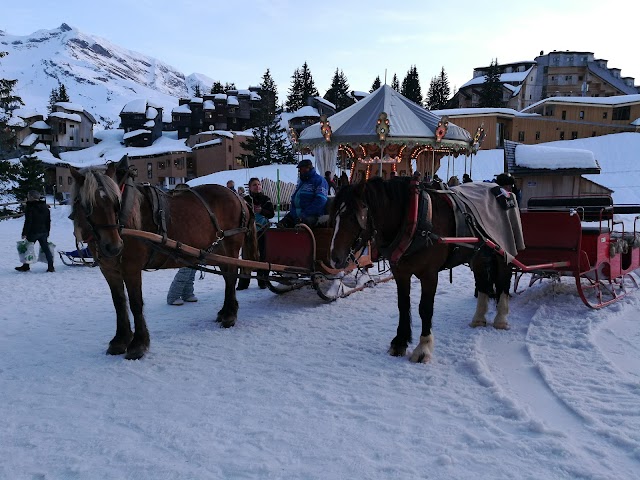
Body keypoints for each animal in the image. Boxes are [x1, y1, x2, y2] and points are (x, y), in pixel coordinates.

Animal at [70, 159, 258, 358]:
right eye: (87, 205)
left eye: (116, 202)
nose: (114, 247)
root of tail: (239, 198)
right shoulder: (109, 270)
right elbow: (119, 303)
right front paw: (120, 340)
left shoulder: (131, 268)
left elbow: (136, 303)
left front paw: (138, 344)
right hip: (219, 252)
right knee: (227, 278)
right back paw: (225, 311)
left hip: (230, 247)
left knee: (231, 278)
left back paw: (230, 316)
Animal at [332, 178, 512, 362]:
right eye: (335, 217)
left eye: (353, 217)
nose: (335, 258)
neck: (414, 219)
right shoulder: (401, 272)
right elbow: (403, 305)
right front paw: (400, 342)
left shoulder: (429, 275)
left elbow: (425, 308)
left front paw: (423, 348)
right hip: (478, 256)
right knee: (482, 282)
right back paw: (478, 319)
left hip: (503, 251)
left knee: (504, 278)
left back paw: (501, 319)